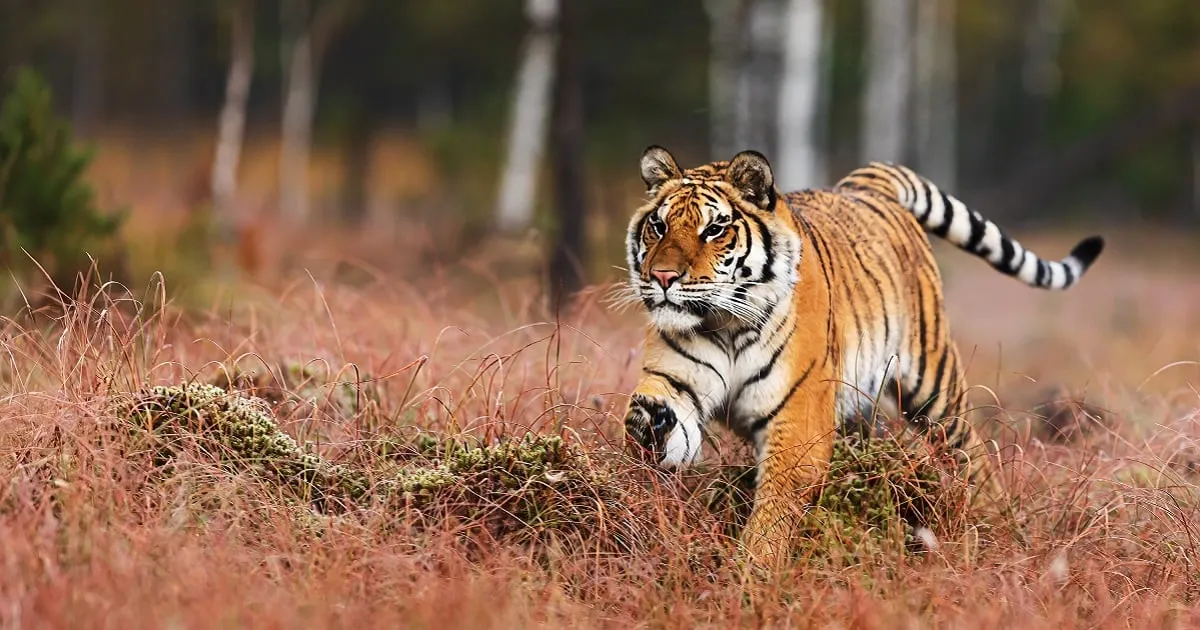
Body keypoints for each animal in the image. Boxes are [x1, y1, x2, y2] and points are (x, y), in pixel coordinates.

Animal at [621, 145, 1104, 566]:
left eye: (714, 230)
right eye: (659, 226)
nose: (662, 277)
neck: (723, 324)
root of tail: (864, 183)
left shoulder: (799, 425)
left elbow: (772, 513)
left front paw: (751, 574)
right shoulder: (677, 381)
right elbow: (658, 420)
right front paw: (650, 425)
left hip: (936, 388)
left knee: (972, 458)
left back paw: (990, 526)